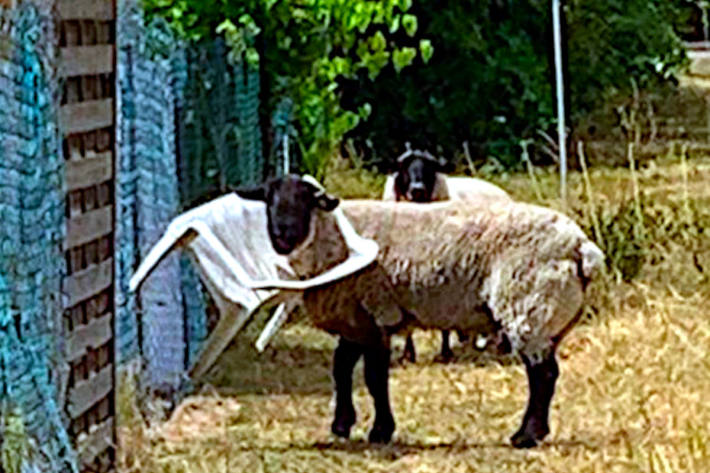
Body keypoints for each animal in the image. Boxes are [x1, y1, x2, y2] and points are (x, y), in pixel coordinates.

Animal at [236, 175, 604, 448]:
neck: (332, 238)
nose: (282, 236)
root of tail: (581, 247)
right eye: (269, 200)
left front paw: (380, 431)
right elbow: (341, 369)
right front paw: (342, 424)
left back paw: (526, 435)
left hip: (528, 306)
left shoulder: (376, 313)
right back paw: (534, 432)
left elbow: (374, 377)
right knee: (547, 373)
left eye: (303, 200)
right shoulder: (356, 319)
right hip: (548, 317)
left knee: (542, 375)